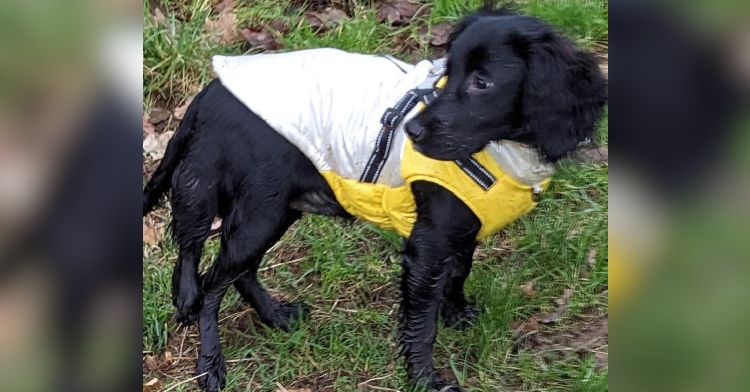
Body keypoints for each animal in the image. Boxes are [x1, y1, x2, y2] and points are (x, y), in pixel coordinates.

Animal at [142, 6, 612, 392]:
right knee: (207, 278)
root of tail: (209, 93)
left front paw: (456, 313)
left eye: (483, 82)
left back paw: (273, 316)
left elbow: (459, 274)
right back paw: (210, 363)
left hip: (278, 209)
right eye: (448, 73)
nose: (412, 132)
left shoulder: (462, 227)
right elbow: (420, 324)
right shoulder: (428, 244)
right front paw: (425, 380)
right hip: (255, 207)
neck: (502, 151)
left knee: (236, 271)